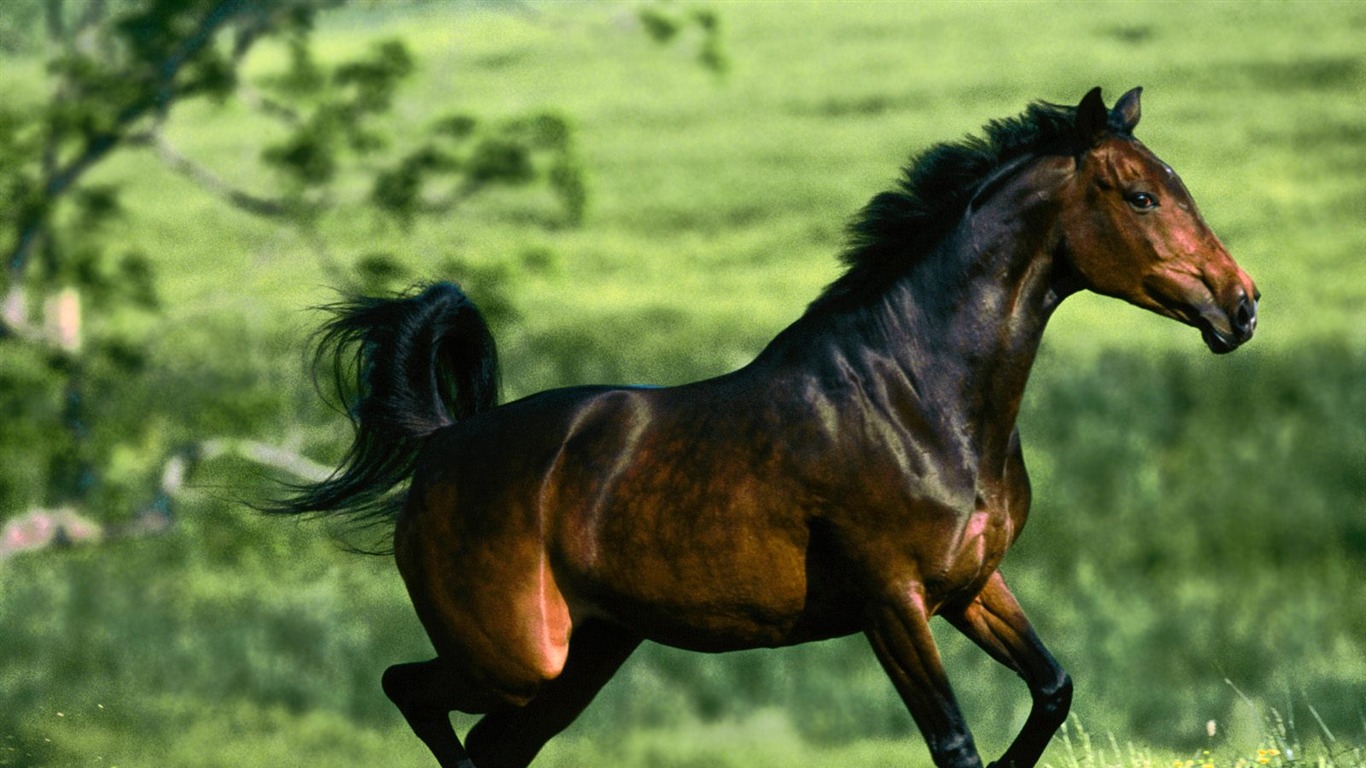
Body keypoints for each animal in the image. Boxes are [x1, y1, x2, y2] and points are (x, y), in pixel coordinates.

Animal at [274, 85, 1256, 765]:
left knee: (489, 743)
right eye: (1140, 197)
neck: (917, 398)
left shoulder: (972, 586)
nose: (1241, 306)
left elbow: (1053, 688)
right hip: (514, 658)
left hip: (583, 657)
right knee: (410, 691)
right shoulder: (891, 602)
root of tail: (443, 445)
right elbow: (954, 741)